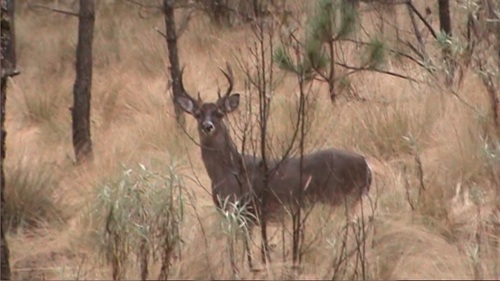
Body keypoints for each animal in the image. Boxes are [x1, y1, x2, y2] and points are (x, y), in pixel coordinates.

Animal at [174, 65, 374, 270]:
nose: (208, 126)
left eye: (220, 113)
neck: (227, 173)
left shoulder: (247, 211)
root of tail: (366, 166)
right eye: (198, 114)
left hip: (342, 199)